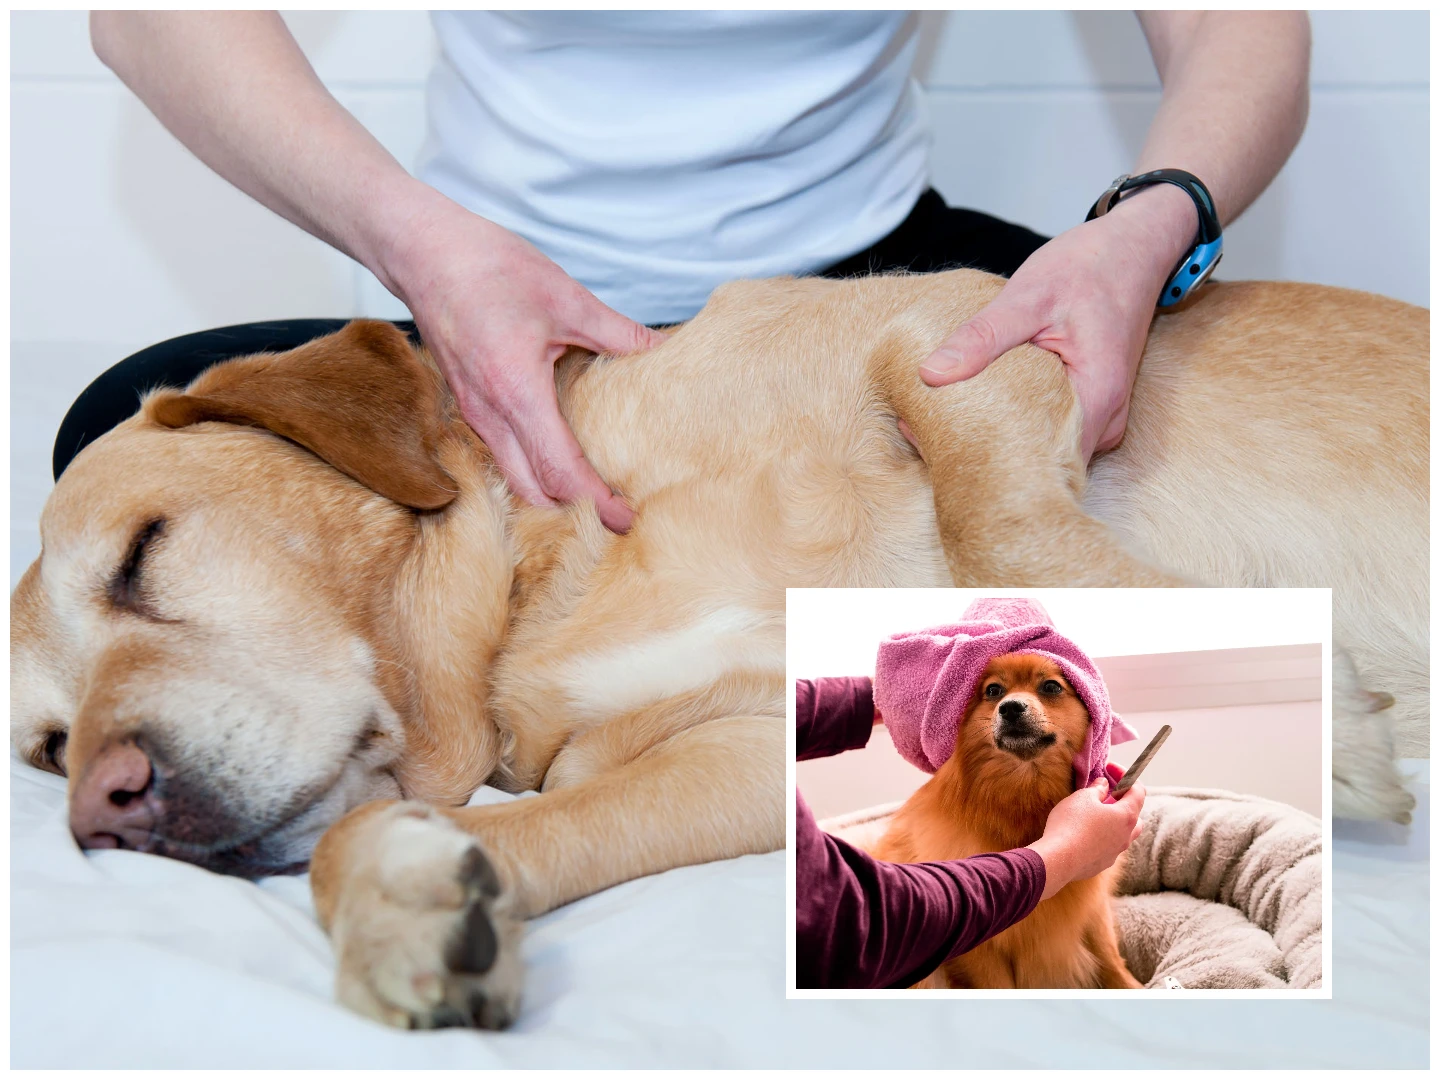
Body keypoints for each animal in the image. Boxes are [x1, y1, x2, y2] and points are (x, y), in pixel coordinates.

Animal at [869, 650, 1140, 990]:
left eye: (1051, 687)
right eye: (994, 691)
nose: (1010, 707)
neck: (1024, 795)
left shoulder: (1092, 908)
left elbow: (1110, 958)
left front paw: (1136, 987)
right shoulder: (980, 951)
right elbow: (997, 984)